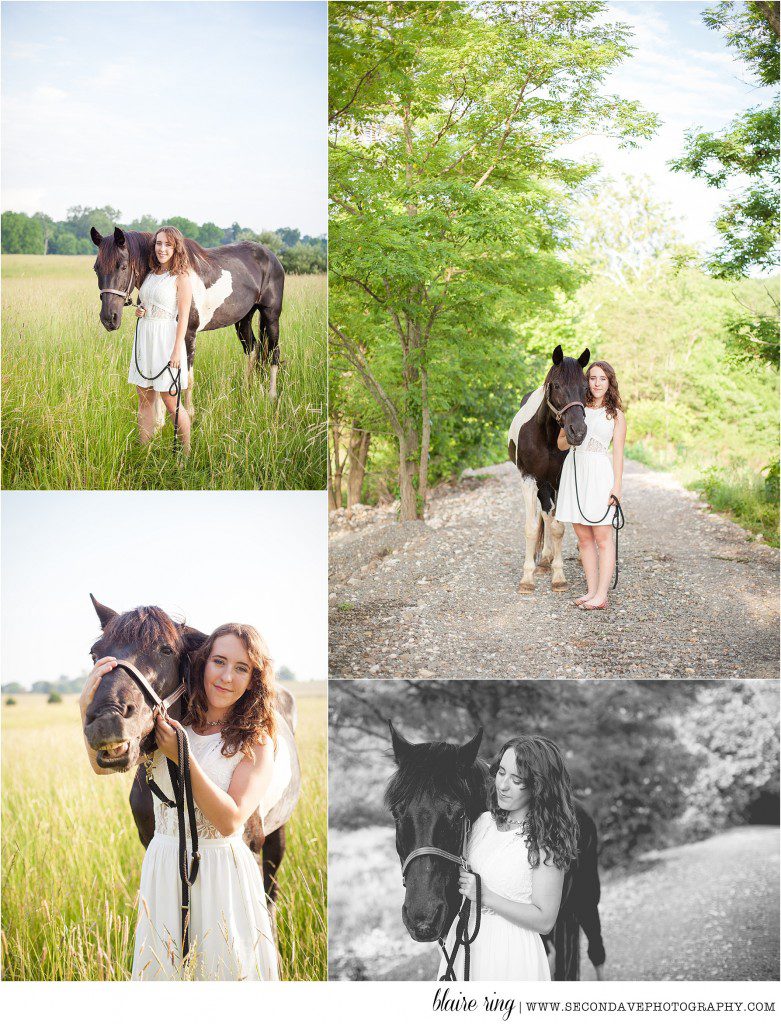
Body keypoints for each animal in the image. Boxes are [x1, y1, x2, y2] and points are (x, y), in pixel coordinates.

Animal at [91, 228, 286, 411]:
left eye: (123, 266)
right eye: (96, 268)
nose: (109, 318)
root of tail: (270, 255)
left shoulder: (188, 335)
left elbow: (187, 380)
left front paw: (189, 414)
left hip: (271, 316)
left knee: (274, 352)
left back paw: (272, 396)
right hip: (243, 319)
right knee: (252, 349)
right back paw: (247, 391)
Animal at [509, 344, 589, 593]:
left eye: (586, 387)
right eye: (556, 385)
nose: (578, 432)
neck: (547, 437)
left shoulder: (561, 478)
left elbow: (557, 527)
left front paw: (559, 576)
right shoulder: (528, 479)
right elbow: (532, 528)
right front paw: (527, 578)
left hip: (549, 483)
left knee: (550, 515)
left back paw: (549, 558)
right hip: (541, 483)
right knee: (544, 514)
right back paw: (543, 559)